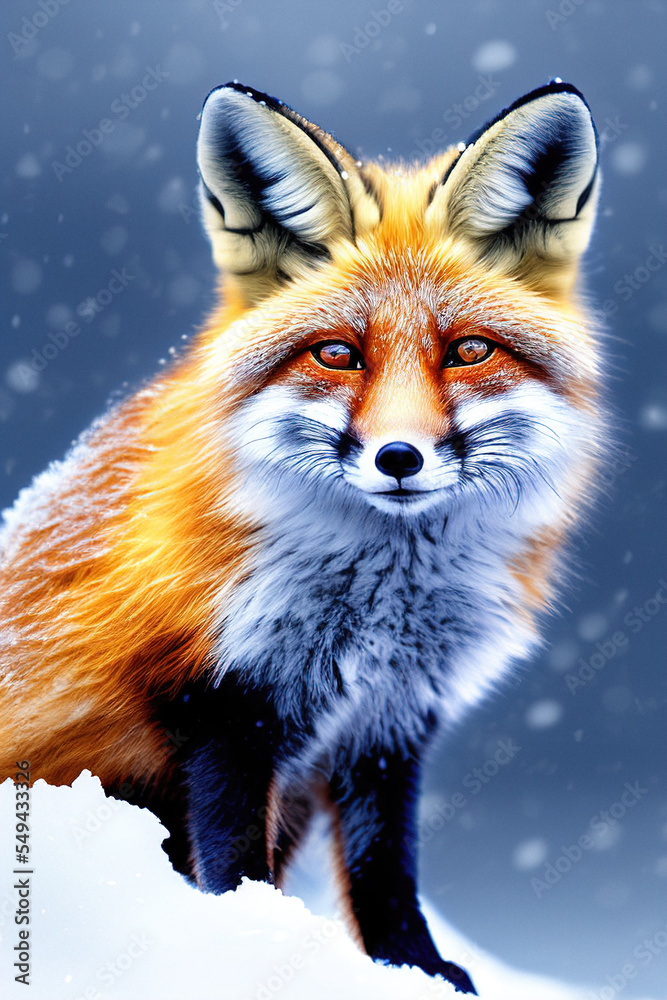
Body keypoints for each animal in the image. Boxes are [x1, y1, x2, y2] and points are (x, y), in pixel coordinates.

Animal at [0, 80, 606, 994]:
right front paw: (253, 947)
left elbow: (384, 872)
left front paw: (416, 970)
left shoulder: (389, 721)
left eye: (467, 351)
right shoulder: (219, 698)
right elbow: (233, 861)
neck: (377, 612)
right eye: (337, 355)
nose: (399, 457)